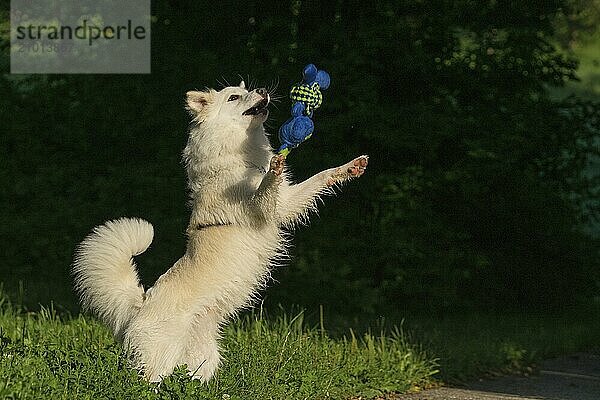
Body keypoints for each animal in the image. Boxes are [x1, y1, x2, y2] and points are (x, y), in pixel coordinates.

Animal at [72, 80, 368, 382]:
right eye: (234, 97)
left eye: (249, 90)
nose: (263, 90)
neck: (239, 159)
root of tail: (139, 306)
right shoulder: (259, 208)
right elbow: (267, 185)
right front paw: (275, 166)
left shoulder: (284, 205)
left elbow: (319, 177)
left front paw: (350, 167)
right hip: (159, 359)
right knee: (146, 383)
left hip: (203, 359)